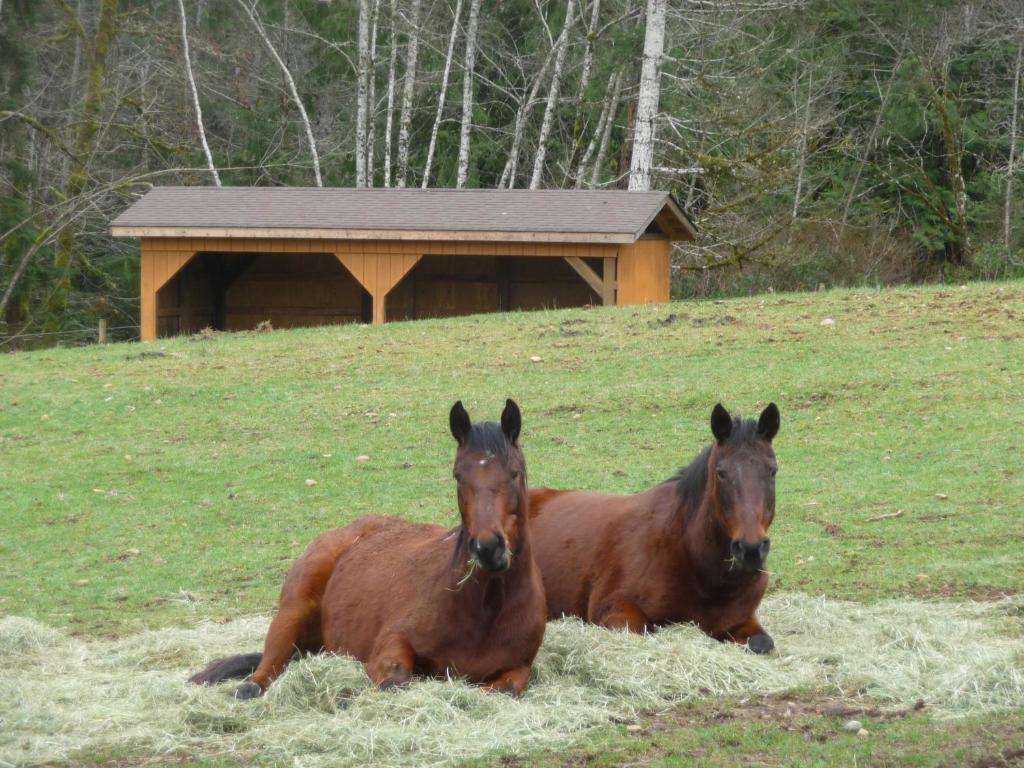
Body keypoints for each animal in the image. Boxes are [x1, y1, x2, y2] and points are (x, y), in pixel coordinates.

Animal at [189, 399, 548, 700]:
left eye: (514, 473)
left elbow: (506, 689)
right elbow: (395, 680)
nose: (488, 548)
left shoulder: (517, 669)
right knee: (262, 674)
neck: (482, 610)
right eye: (458, 476)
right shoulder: (390, 646)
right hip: (292, 613)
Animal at [532, 403, 778, 655]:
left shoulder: (741, 621)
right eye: (721, 473)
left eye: (772, 471)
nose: (750, 550)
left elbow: (762, 643)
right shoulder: (615, 609)